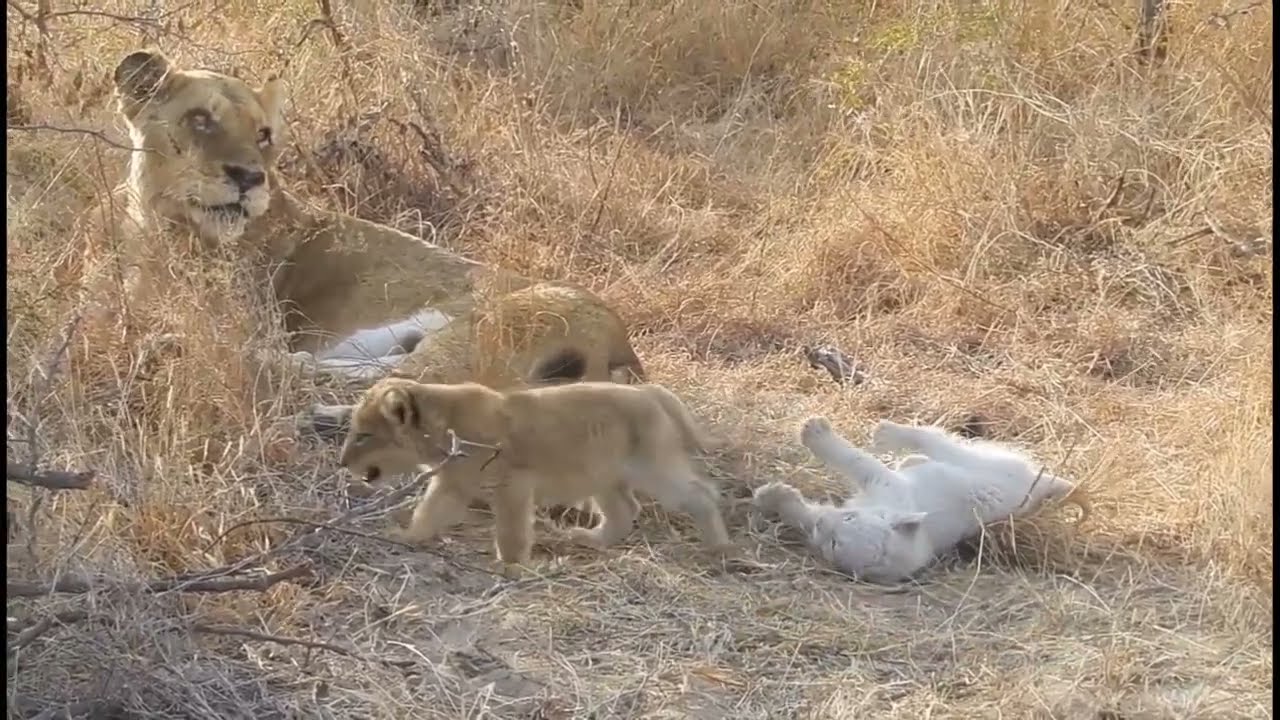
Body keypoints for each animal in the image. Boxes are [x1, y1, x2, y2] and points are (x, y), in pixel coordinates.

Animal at [81, 48, 644, 431]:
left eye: (263, 135)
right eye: (200, 120)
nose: (249, 178)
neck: (162, 229)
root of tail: (625, 351)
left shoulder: (246, 319)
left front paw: (163, 338)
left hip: (482, 332)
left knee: (418, 391)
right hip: (414, 339)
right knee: (370, 373)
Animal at [338, 376, 734, 566]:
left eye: (364, 435)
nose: (342, 462)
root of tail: (652, 391)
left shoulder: (512, 483)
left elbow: (511, 530)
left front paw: (511, 565)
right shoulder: (452, 484)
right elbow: (428, 514)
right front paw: (406, 537)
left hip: (653, 466)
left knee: (701, 493)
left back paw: (719, 547)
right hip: (602, 475)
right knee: (625, 510)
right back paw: (588, 539)